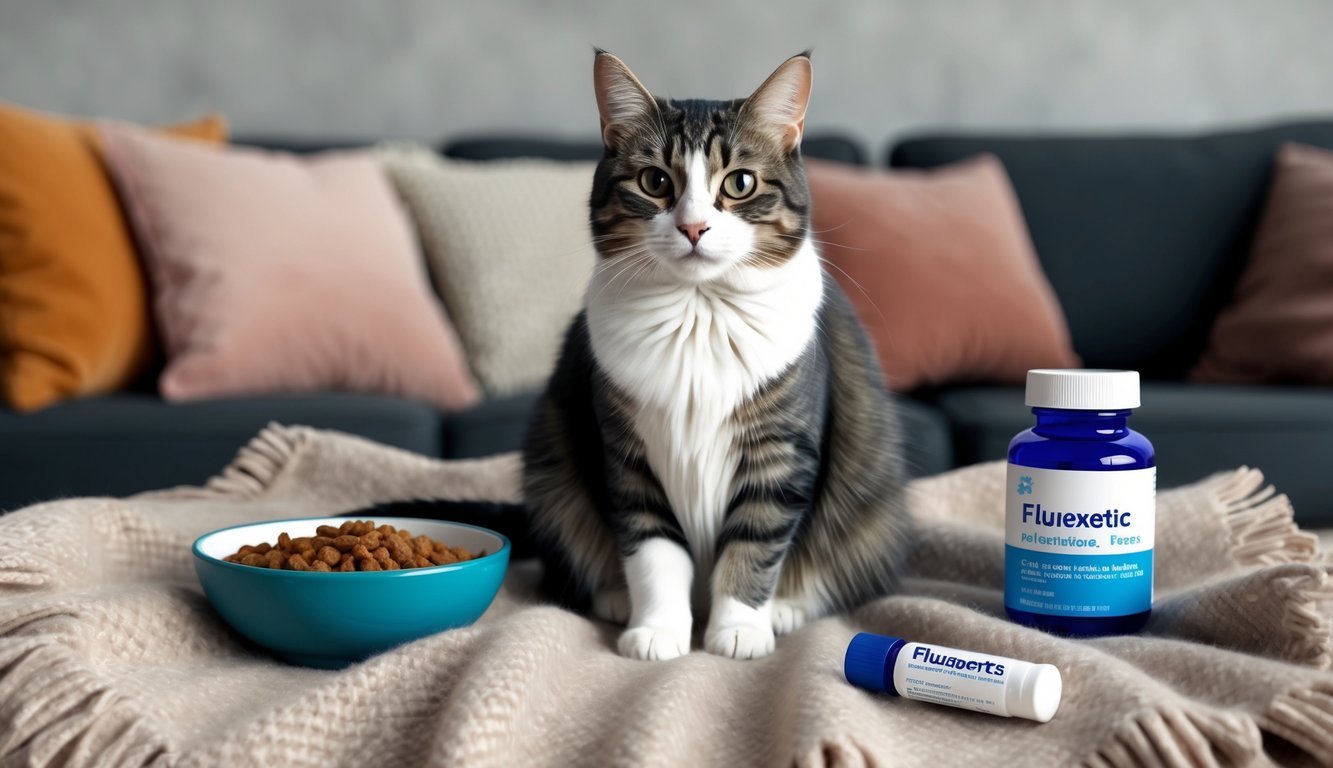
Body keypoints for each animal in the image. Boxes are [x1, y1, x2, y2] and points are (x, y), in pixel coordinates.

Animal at [514, 51, 911, 661]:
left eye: (739, 183)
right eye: (656, 181)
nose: (694, 227)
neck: (699, 313)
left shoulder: (780, 455)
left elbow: (753, 545)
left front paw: (741, 629)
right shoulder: (627, 458)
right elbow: (653, 551)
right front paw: (657, 630)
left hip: (873, 505)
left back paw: (787, 608)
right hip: (552, 466)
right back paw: (614, 596)